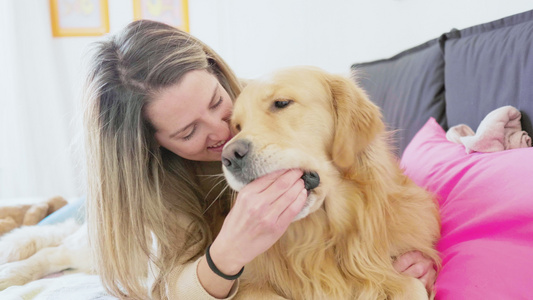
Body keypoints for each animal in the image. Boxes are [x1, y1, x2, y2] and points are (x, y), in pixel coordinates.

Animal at [221, 67, 440, 298]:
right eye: (237, 126)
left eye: (281, 103)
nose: (229, 156)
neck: (330, 233)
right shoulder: (249, 285)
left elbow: (411, 284)